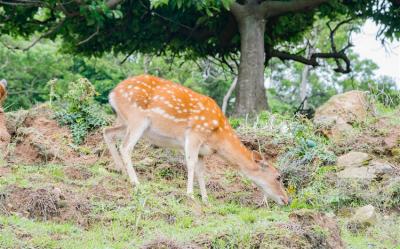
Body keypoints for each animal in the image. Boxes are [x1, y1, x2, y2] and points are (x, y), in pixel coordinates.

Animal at [103, 75, 290, 205]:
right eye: (278, 177)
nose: (287, 200)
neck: (217, 138)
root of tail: (112, 93)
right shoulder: (194, 134)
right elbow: (191, 164)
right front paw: (191, 195)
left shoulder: (203, 151)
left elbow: (201, 171)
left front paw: (206, 200)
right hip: (137, 119)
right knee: (125, 147)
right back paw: (136, 182)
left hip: (125, 121)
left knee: (107, 131)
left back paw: (120, 170)